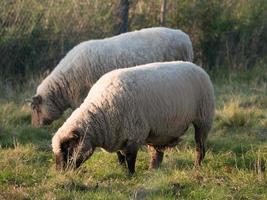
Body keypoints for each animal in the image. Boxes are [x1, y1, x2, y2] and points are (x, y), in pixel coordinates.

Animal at [51, 61, 216, 175]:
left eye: (67, 148)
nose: (60, 174)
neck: (100, 113)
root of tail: (196, 66)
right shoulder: (116, 135)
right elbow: (121, 157)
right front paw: (123, 170)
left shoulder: (134, 135)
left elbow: (130, 158)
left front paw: (130, 175)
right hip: (159, 131)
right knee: (157, 153)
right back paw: (152, 171)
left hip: (203, 119)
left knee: (200, 147)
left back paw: (197, 167)